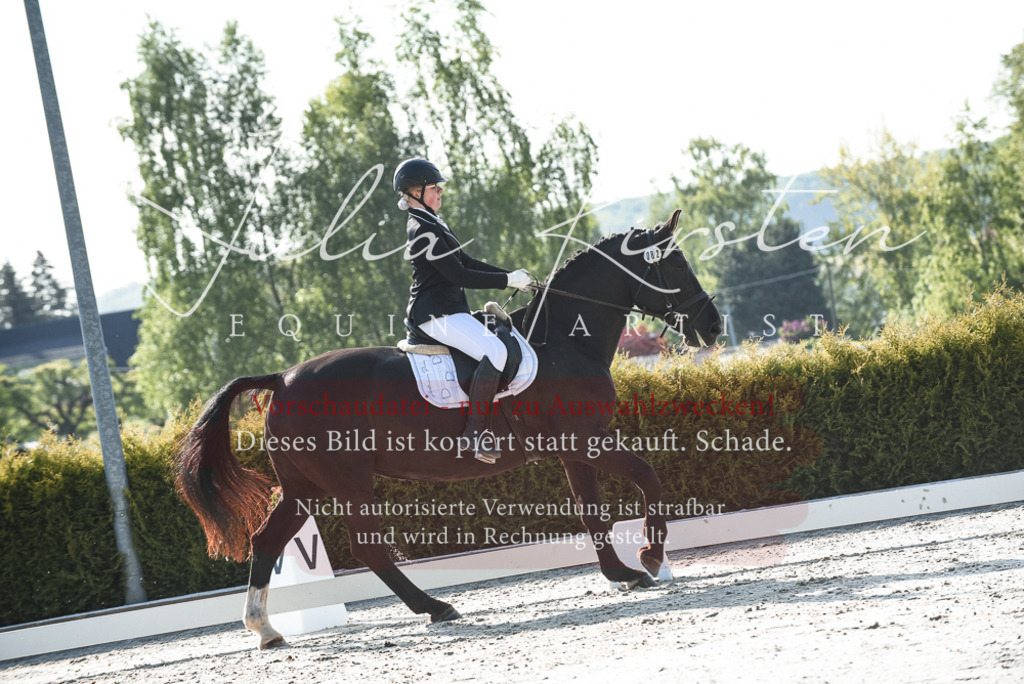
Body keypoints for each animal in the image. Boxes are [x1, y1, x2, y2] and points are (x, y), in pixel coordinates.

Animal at [175, 209, 723, 649]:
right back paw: (435, 608)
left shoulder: (574, 449)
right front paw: (650, 557)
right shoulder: (586, 441)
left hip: (304, 485)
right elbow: (648, 475)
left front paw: (622, 573)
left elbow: (593, 514)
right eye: (675, 264)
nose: (714, 327)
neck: (567, 341)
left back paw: (266, 630)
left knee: (267, 540)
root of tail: (282, 378)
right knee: (366, 547)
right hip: (346, 482)